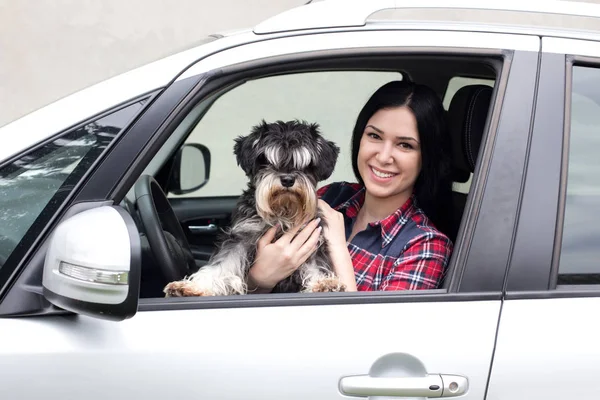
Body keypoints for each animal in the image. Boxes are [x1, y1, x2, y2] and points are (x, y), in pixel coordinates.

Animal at [164, 119, 344, 296]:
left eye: (307, 165)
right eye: (266, 161)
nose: (287, 180)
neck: (282, 212)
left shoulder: (313, 239)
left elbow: (317, 265)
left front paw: (324, 283)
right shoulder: (241, 237)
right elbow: (221, 264)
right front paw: (193, 287)